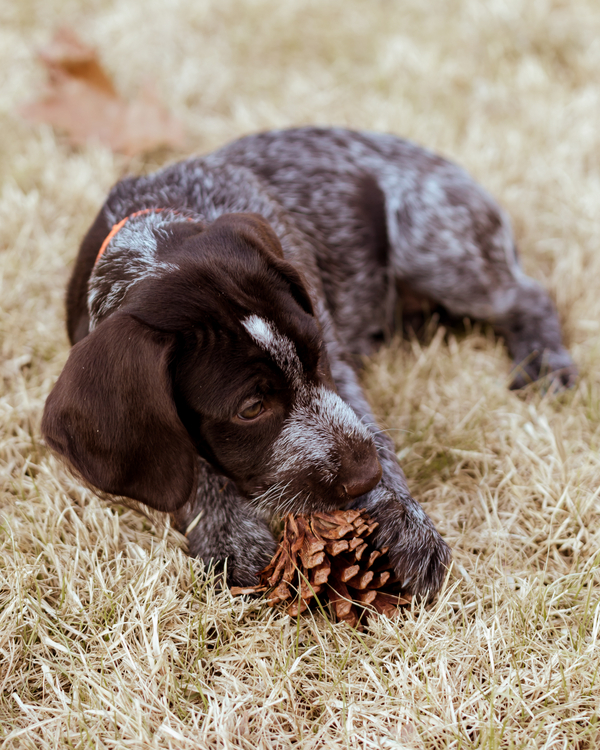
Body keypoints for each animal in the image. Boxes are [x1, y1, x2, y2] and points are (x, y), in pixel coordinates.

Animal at [39, 128, 576, 600]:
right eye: (250, 409)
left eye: (316, 357)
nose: (365, 477)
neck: (151, 237)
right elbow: (192, 465)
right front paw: (229, 532)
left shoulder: (339, 363)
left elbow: (371, 429)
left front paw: (401, 516)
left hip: (437, 249)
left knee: (527, 296)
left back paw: (544, 362)